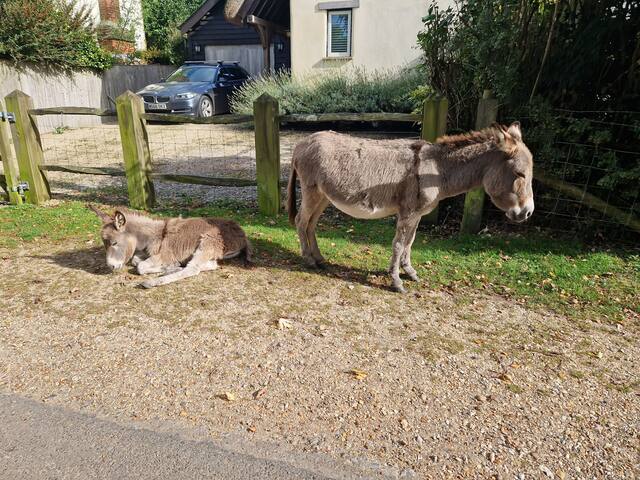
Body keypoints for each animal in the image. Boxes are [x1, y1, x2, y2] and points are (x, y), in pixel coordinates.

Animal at [88, 204, 252, 286]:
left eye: (114, 243)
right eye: (104, 244)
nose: (111, 266)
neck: (153, 235)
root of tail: (242, 234)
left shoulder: (163, 254)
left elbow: (140, 267)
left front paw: (168, 266)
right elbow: (136, 261)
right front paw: (171, 266)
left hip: (208, 241)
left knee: (193, 269)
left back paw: (153, 282)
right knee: (210, 265)